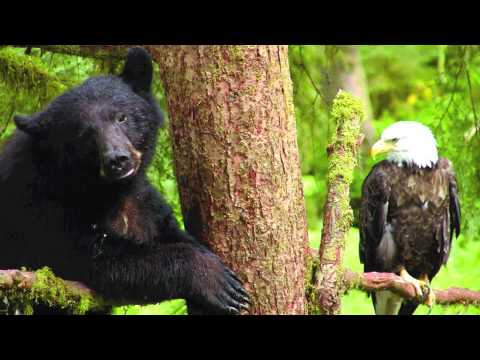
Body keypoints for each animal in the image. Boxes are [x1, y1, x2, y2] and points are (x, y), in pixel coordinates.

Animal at [0, 47, 251, 316]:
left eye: (122, 117)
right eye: (84, 133)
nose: (117, 160)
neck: (108, 189)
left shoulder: (143, 200)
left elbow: (168, 229)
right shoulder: (47, 209)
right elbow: (102, 260)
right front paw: (216, 280)